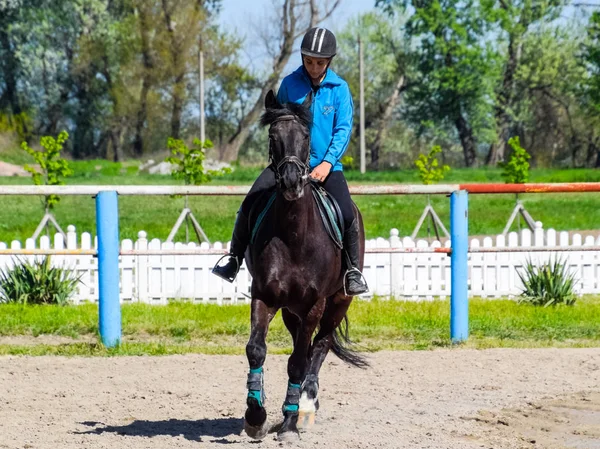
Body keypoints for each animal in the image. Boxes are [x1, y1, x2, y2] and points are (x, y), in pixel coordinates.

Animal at [241, 89, 368, 440]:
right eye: (273, 137)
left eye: (307, 136)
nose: (291, 182)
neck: (293, 234)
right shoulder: (264, 295)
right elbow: (256, 349)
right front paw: (255, 415)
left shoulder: (315, 303)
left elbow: (299, 361)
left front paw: (289, 423)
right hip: (290, 309)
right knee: (306, 343)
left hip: (338, 302)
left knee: (319, 346)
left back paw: (307, 403)